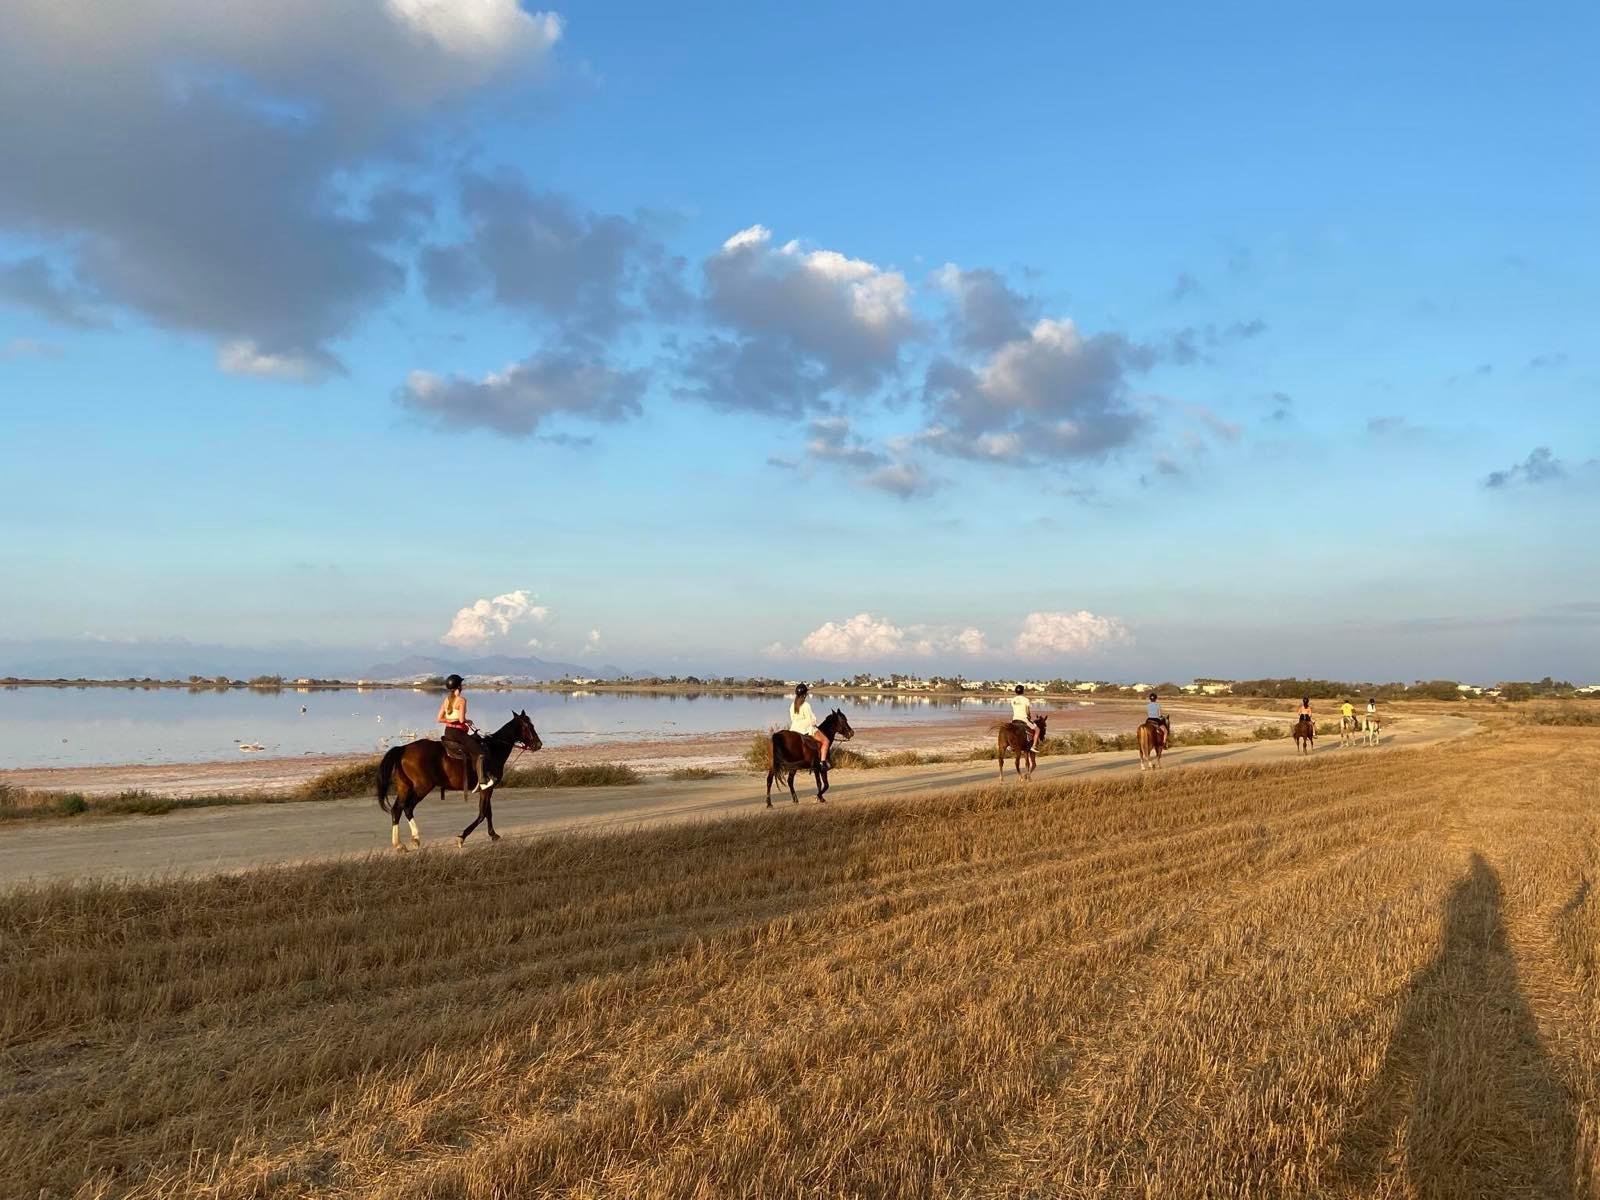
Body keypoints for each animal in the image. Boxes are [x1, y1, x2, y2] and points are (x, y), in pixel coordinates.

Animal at [375, 711, 542, 850]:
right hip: (422, 787)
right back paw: (413, 840)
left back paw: (400, 844)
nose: (539, 744)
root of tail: (403, 749)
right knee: (408, 808)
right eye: (529, 726)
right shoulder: (488, 788)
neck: (494, 750)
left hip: (405, 787)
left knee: (397, 810)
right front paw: (461, 837)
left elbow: (488, 813)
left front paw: (493, 835)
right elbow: (482, 814)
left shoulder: (486, 788)